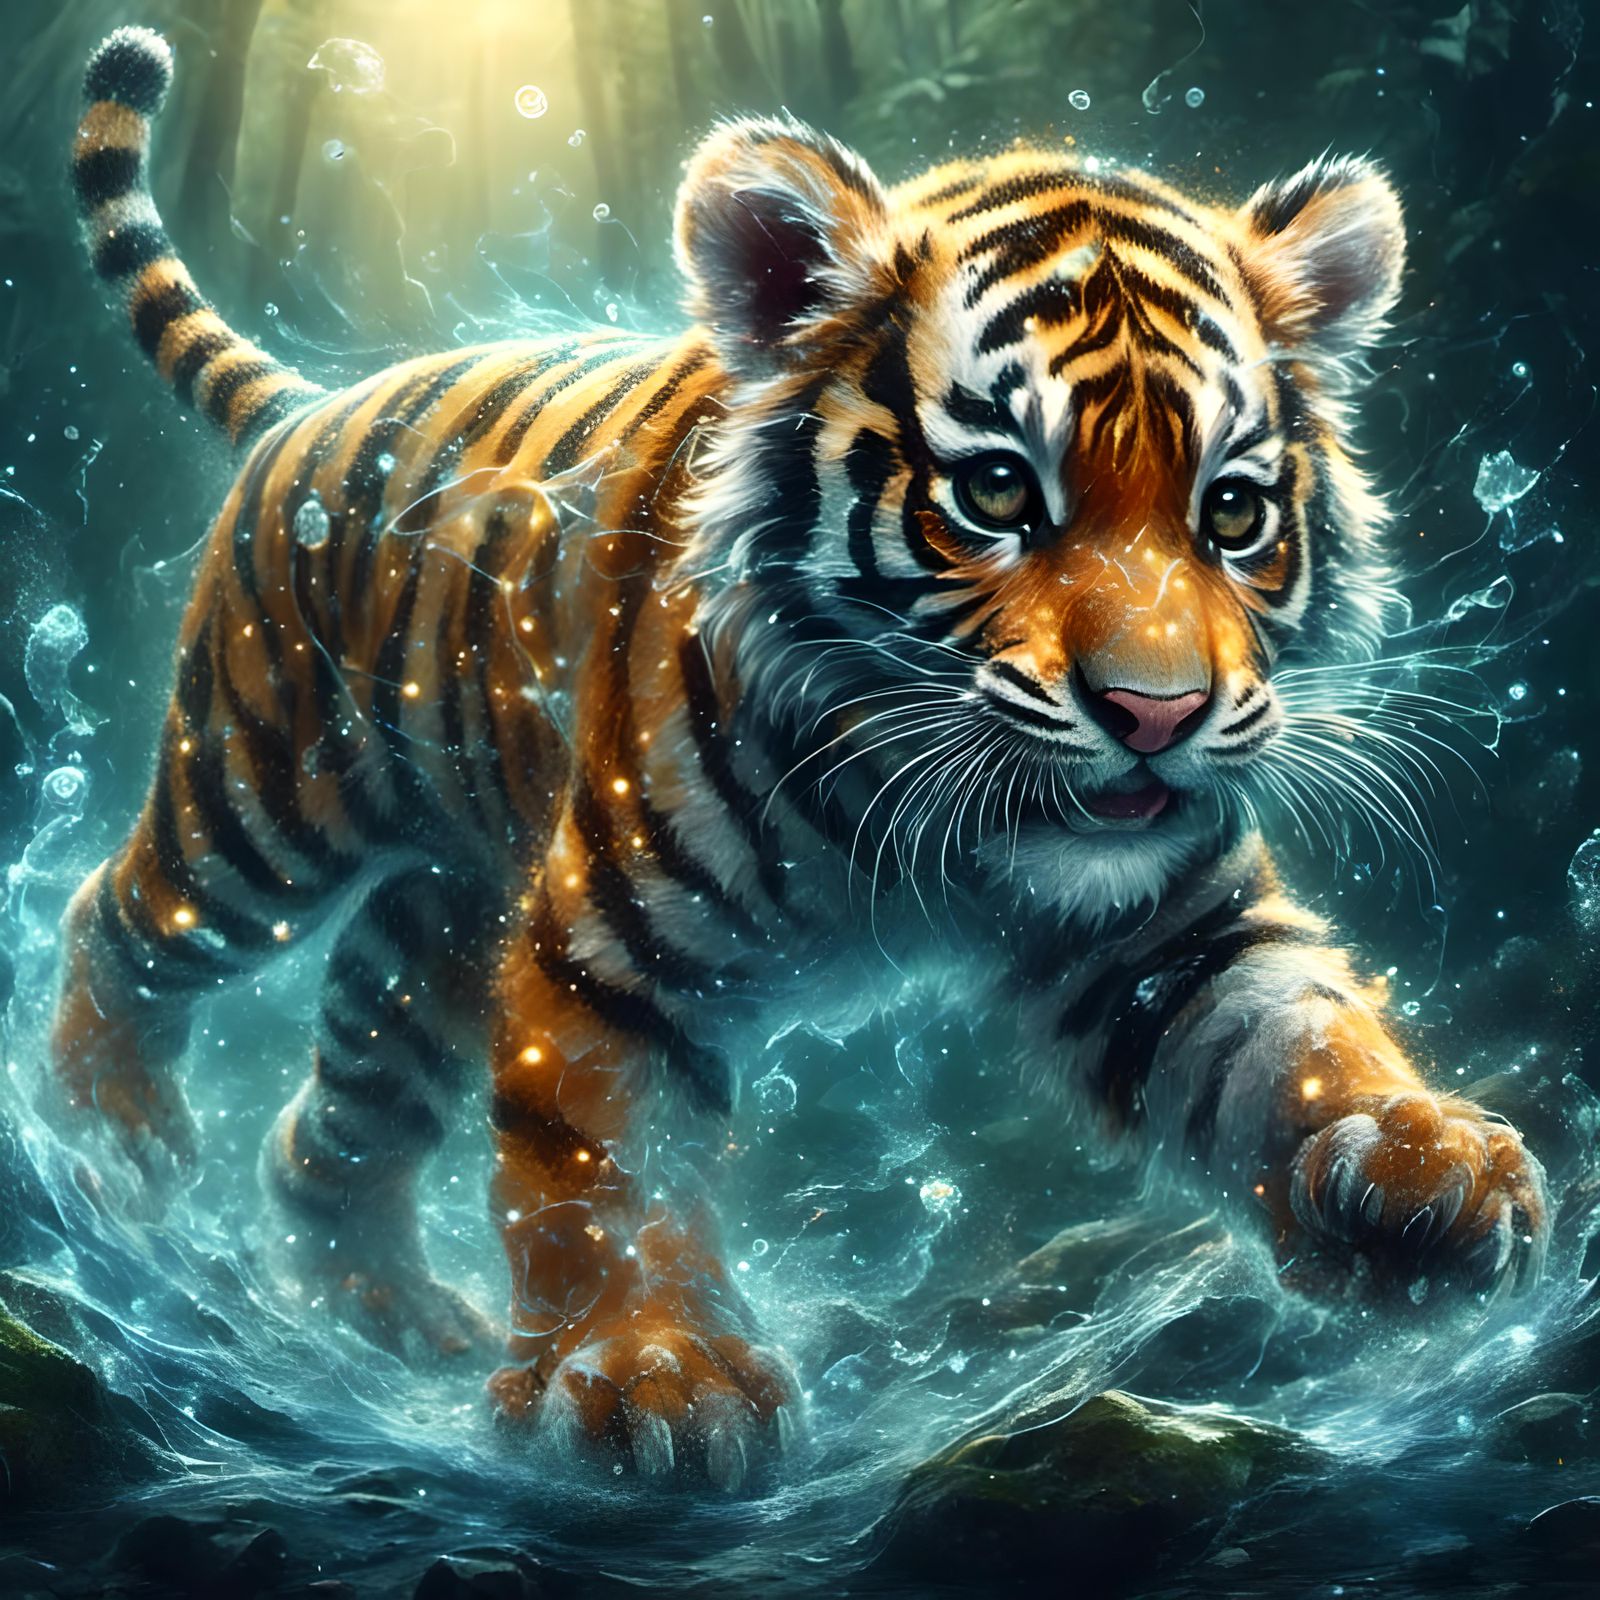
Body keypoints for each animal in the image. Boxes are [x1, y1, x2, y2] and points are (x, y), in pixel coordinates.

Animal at [54, 25, 1549, 1486]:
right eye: (996, 490)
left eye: (1232, 512)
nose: (1156, 714)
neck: (946, 819)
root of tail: (314, 401)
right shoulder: (612, 952)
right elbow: (600, 1164)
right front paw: (651, 1374)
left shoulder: (1171, 929)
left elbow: (1295, 1031)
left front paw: (1422, 1173)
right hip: (263, 798)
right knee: (123, 916)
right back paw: (107, 1142)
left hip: (443, 916)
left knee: (343, 1101)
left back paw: (384, 1309)